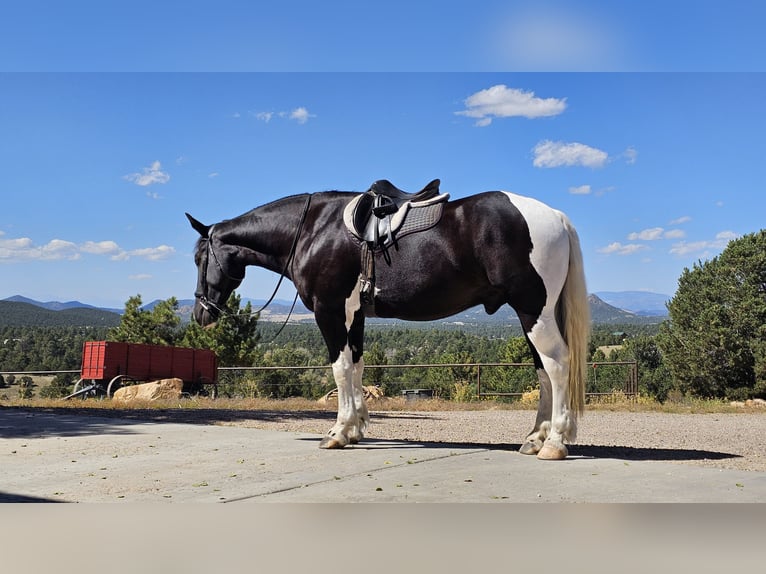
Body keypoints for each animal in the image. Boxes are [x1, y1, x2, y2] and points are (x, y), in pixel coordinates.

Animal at [188, 182, 592, 462]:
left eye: (198, 258)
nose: (200, 314)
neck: (314, 229)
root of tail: (555, 216)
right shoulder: (355, 316)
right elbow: (356, 367)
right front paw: (355, 428)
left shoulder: (328, 311)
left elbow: (339, 369)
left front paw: (337, 432)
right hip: (532, 314)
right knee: (544, 371)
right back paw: (535, 438)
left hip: (533, 310)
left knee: (558, 366)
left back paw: (555, 443)